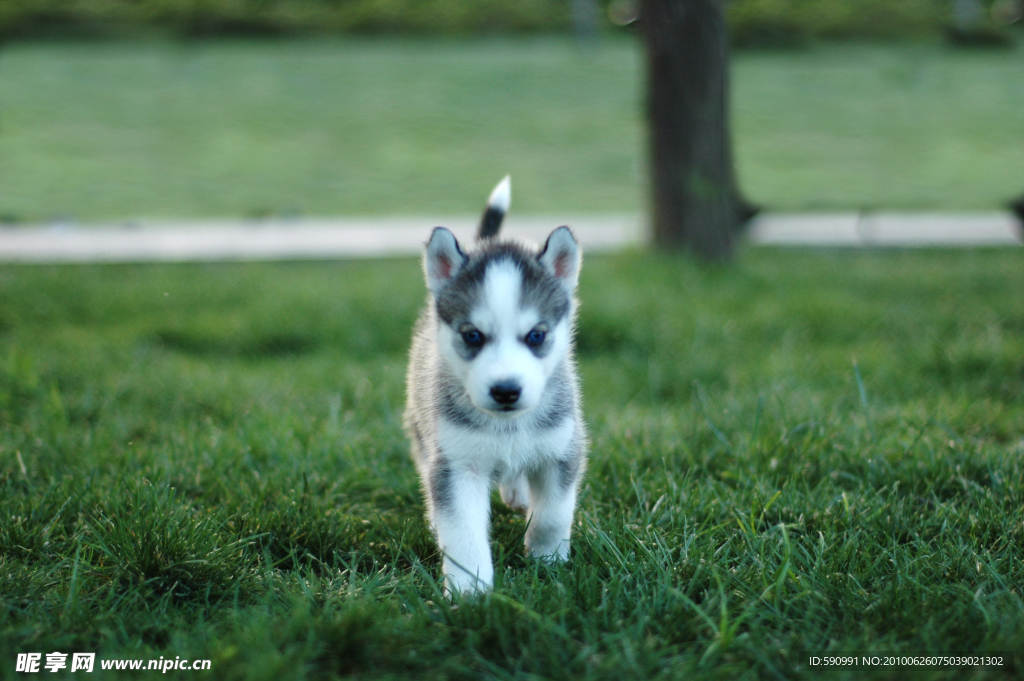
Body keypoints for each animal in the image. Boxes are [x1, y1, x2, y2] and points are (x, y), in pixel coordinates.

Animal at [403, 178, 589, 593]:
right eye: (472, 335)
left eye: (536, 335)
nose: (506, 390)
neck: (508, 426)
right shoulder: (457, 464)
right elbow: (464, 533)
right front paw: (469, 592)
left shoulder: (561, 451)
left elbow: (553, 514)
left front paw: (547, 561)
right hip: (422, 429)